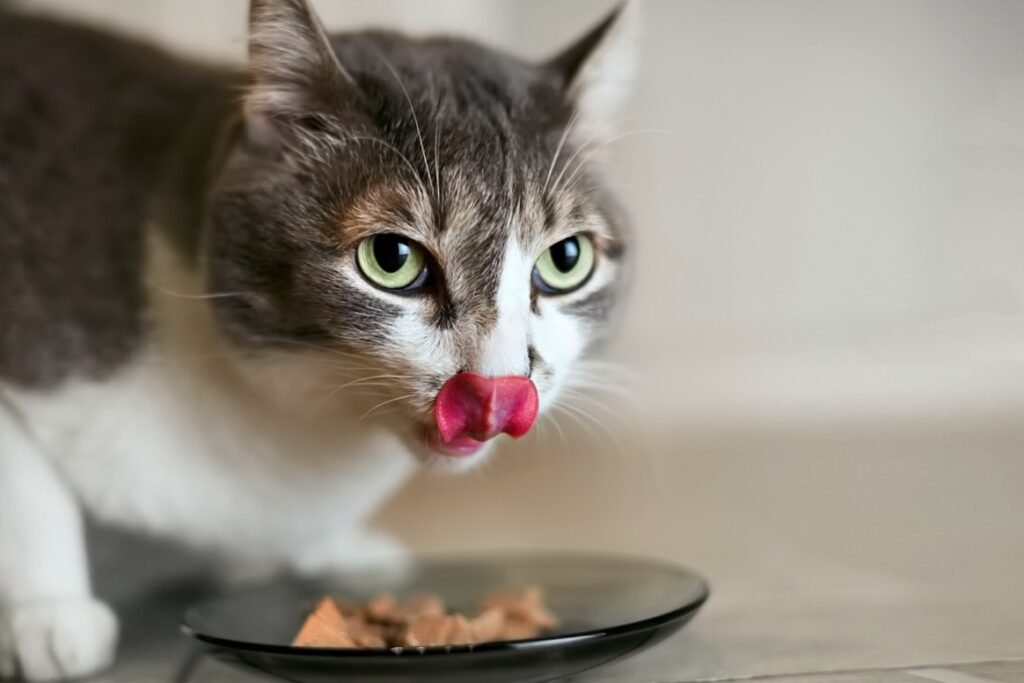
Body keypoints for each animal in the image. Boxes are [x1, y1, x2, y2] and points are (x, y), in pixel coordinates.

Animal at [0, 0, 634, 679]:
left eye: (566, 259)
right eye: (391, 258)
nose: (498, 391)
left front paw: (333, 549)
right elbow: (30, 489)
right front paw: (51, 616)